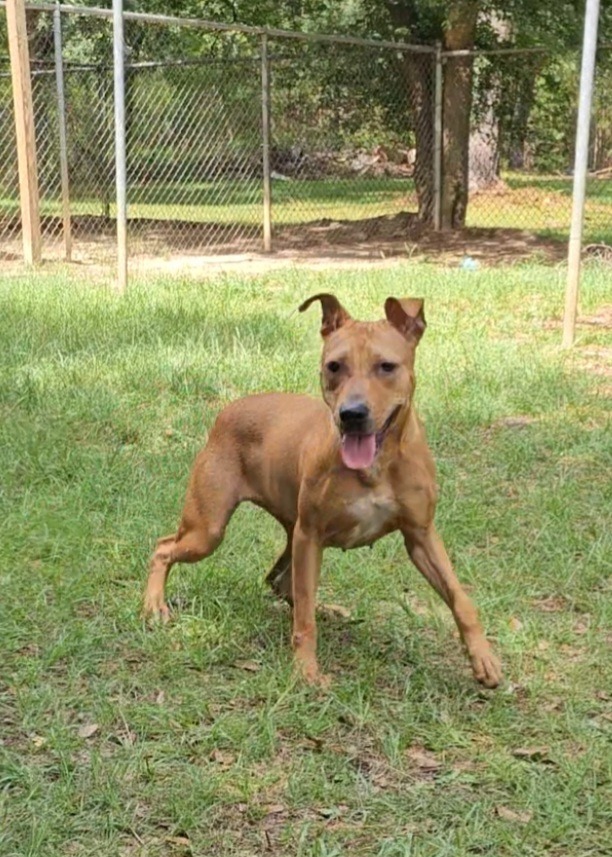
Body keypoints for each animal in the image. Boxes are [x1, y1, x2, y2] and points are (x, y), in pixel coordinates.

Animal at [145, 294, 502, 688]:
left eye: (386, 366)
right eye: (334, 366)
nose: (352, 414)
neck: (377, 465)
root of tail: (230, 408)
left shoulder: (421, 534)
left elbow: (460, 597)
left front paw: (483, 657)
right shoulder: (311, 535)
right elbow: (304, 619)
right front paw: (306, 670)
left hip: (289, 533)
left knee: (280, 582)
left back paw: (326, 609)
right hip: (211, 528)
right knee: (164, 548)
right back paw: (154, 605)